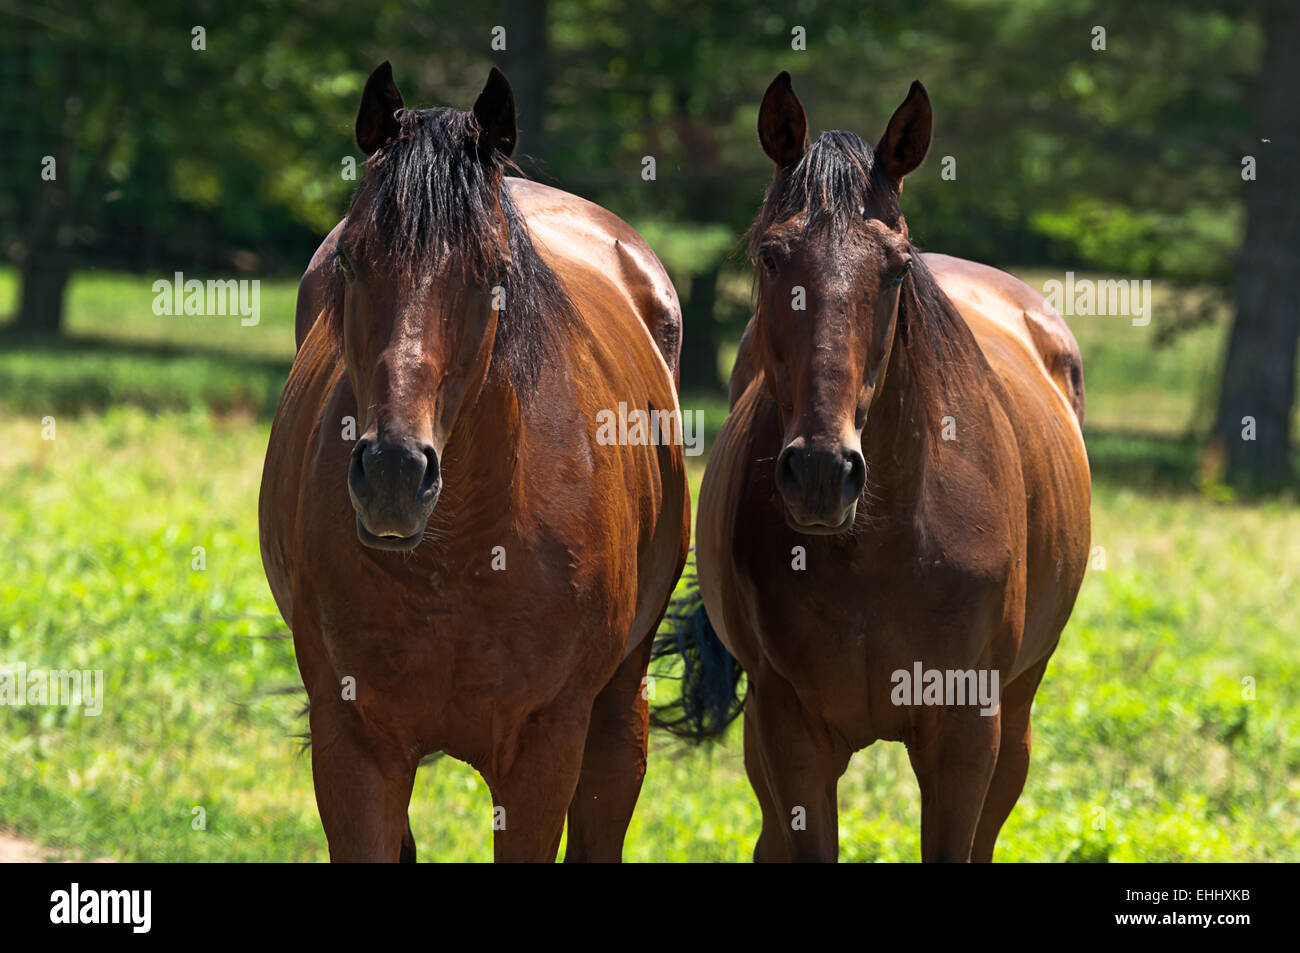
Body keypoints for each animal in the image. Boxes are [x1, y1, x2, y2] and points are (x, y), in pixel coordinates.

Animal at [258, 63, 696, 858]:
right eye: (350, 259)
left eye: (492, 269)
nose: (395, 474)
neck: (461, 550)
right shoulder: (354, 746)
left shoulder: (542, 751)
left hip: (619, 708)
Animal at [655, 72, 1092, 863]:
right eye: (771, 256)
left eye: (895, 267)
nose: (822, 473)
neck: (881, 548)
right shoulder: (789, 730)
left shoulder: (964, 734)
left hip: (1016, 715)